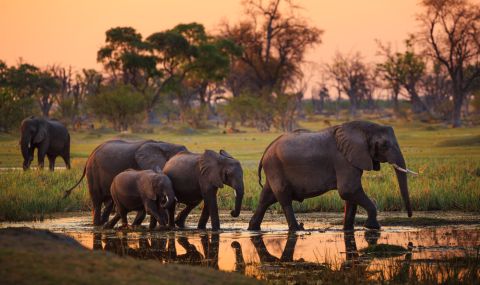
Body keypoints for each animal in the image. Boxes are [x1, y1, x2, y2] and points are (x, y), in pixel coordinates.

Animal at [249, 120, 414, 231]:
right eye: (385, 145)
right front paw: (373, 227)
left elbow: (350, 196)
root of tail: (267, 150)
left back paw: (253, 228)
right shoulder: (343, 160)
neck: (362, 129)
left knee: (266, 198)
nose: (409, 216)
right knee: (284, 198)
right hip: (274, 167)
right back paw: (297, 229)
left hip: (273, 169)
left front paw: (347, 229)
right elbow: (348, 190)